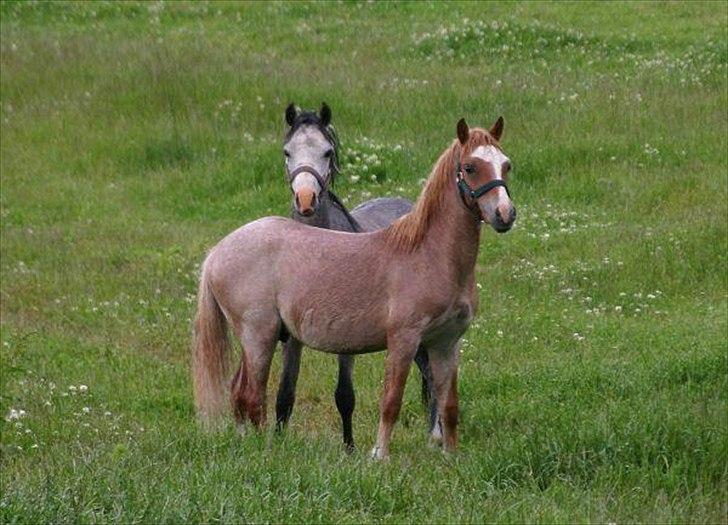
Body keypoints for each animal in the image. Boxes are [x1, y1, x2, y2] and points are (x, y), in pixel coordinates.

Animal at [191, 116, 516, 456]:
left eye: (505, 165)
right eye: (470, 167)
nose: (505, 214)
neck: (428, 254)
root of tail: (218, 252)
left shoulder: (446, 342)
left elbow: (448, 404)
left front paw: (450, 455)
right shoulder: (403, 341)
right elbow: (391, 402)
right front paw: (379, 456)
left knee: (238, 392)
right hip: (259, 336)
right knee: (253, 396)